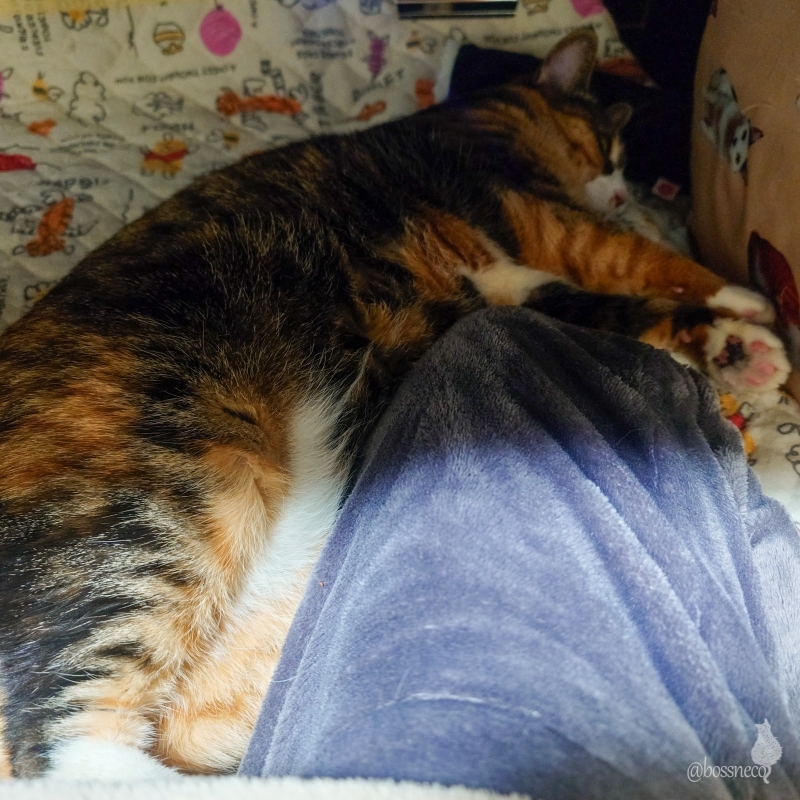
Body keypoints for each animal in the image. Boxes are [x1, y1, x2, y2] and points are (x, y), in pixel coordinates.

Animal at [0, 29, 789, 780]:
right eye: (610, 147)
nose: (625, 193)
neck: (473, 121)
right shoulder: (535, 212)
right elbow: (639, 261)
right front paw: (744, 314)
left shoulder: (521, 281)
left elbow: (611, 303)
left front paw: (729, 348)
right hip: (170, 497)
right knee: (65, 743)